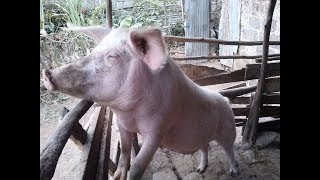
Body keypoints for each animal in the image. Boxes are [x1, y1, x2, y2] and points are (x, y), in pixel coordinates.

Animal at [42, 26, 238, 179]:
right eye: (93, 51)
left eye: (112, 56)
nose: (47, 73)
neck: (130, 112)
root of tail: (225, 99)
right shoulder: (121, 123)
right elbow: (125, 149)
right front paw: (118, 176)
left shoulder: (158, 130)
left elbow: (137, 166)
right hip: (203, 135)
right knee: (205, 147)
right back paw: (200, 170)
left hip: (228, 130)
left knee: (230, 150)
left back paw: (233, 172)